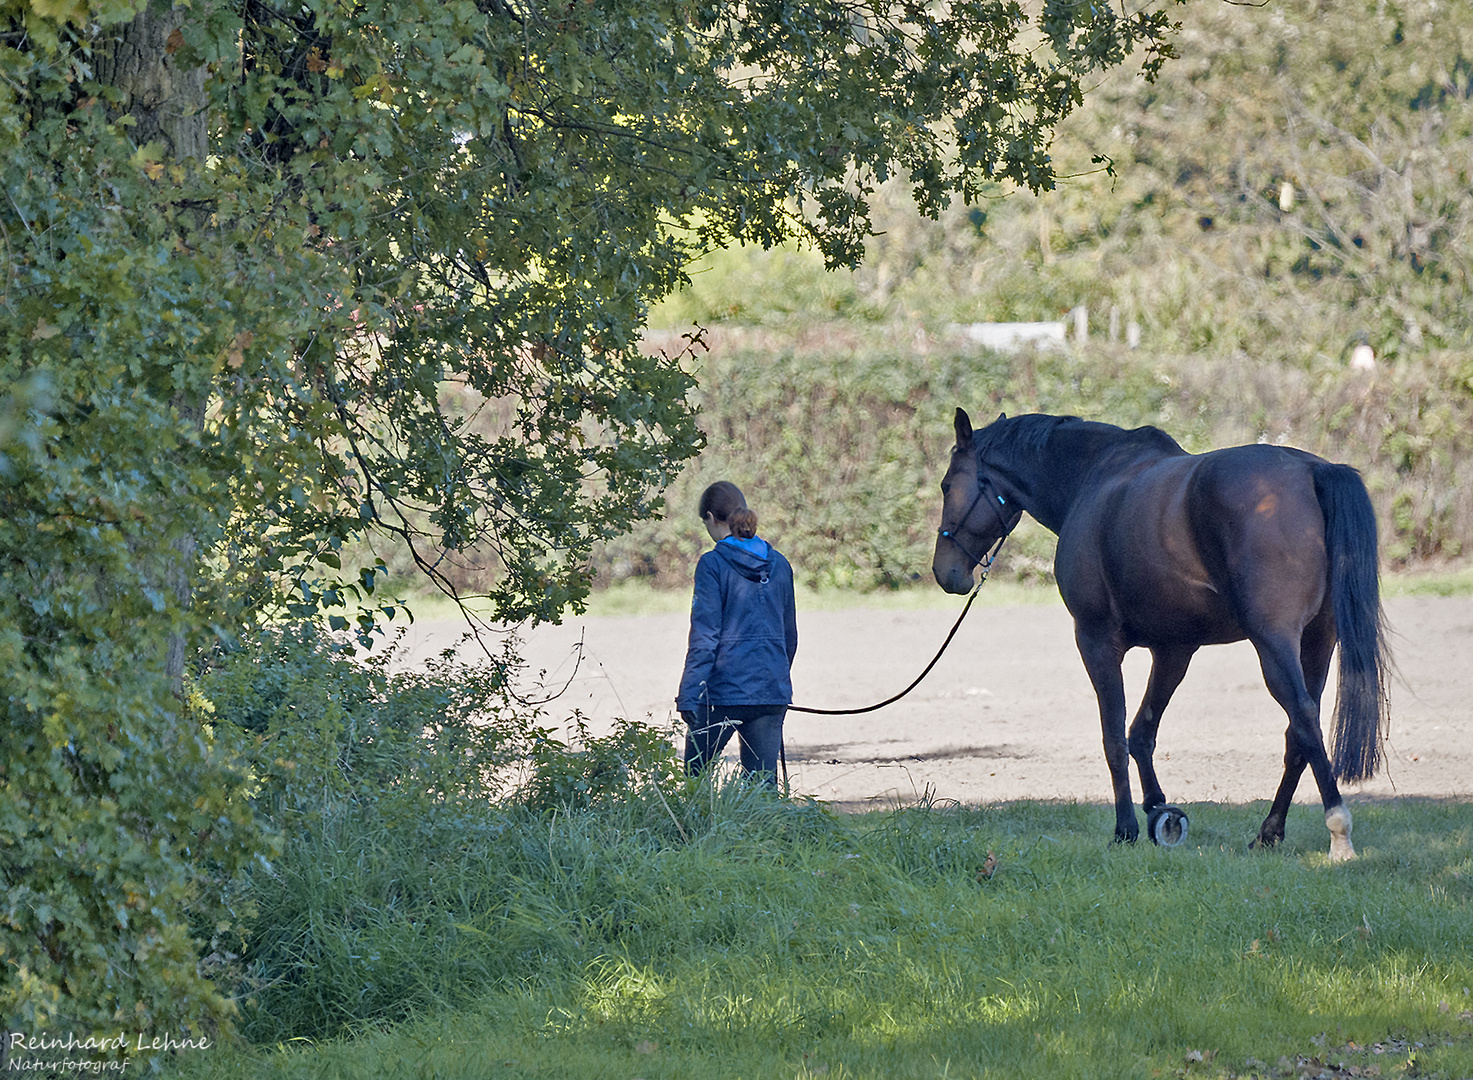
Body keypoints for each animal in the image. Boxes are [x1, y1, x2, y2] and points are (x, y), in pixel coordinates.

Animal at [930, 406, 1390, 860]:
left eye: (947, 485)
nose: (944, 572)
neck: (1094, 476)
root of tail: (1313, 470)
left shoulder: (1095, 641)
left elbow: (1115, 737)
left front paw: (1126, 829)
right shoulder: (1174, 650)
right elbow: (1142, 732)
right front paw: (1159, 812)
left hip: (1274, 643)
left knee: (1303, 717)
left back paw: (1339, 832)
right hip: (1318, 642)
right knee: (1297, 735)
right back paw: (1269, 833)